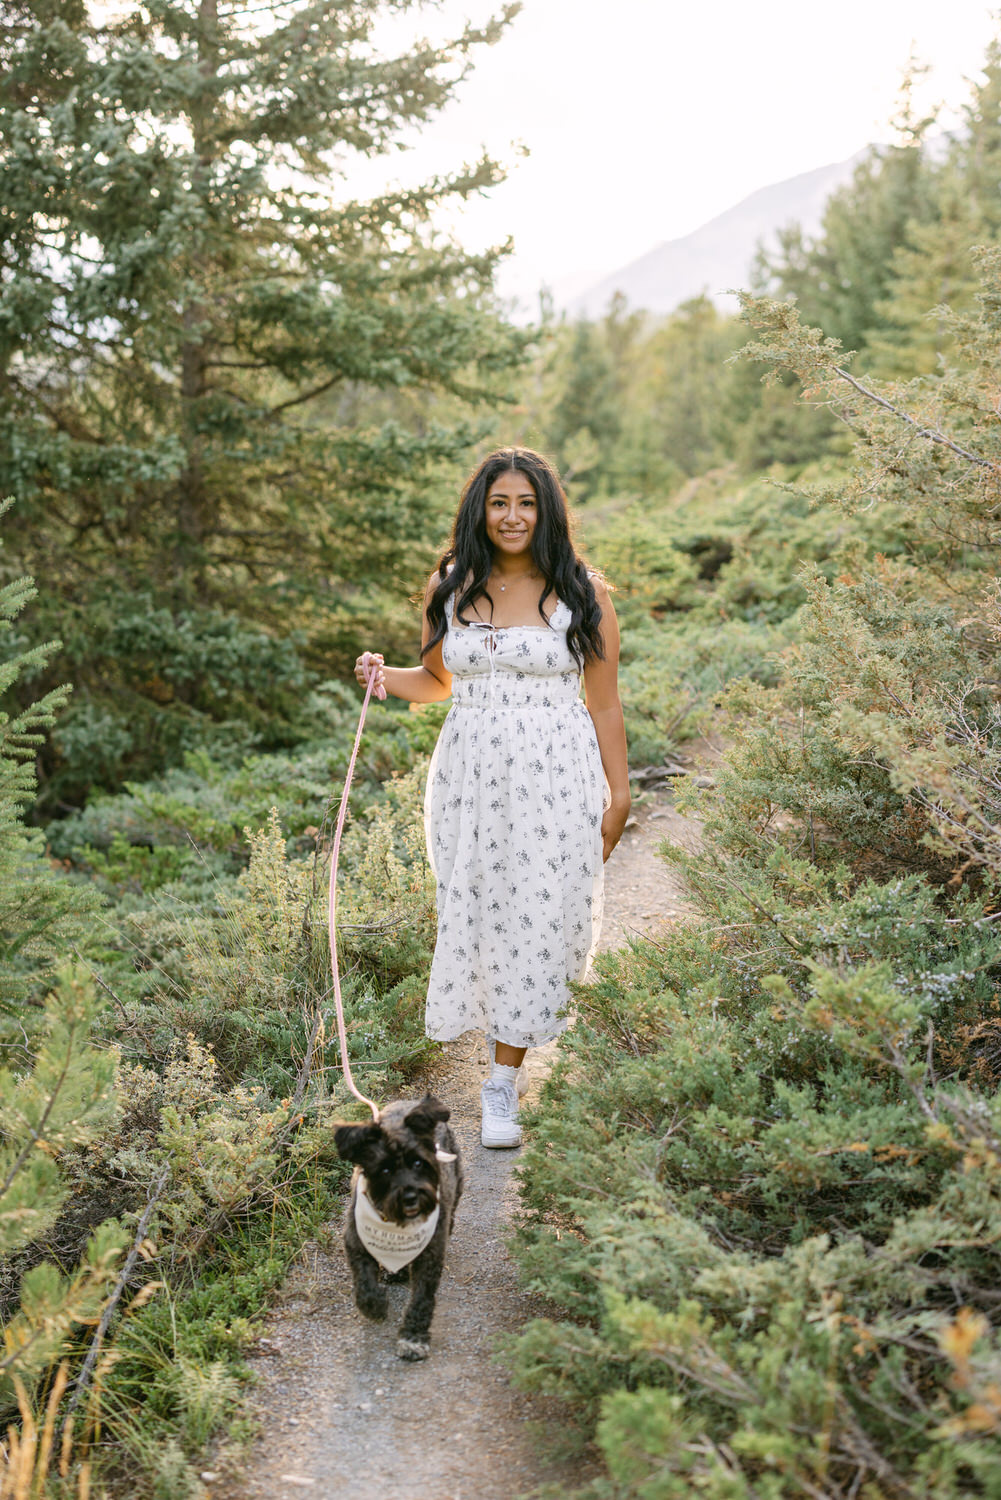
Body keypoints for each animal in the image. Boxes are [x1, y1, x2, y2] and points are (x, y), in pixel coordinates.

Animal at [334, 1092, 465, 1362]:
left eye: (418, 1163)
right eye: (384, 1169)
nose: (411, 1197)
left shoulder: (430, 1255)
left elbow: (422, 1298)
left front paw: (413, 1338)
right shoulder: (355, 1243)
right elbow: (364, 1284)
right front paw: (375, 1307)